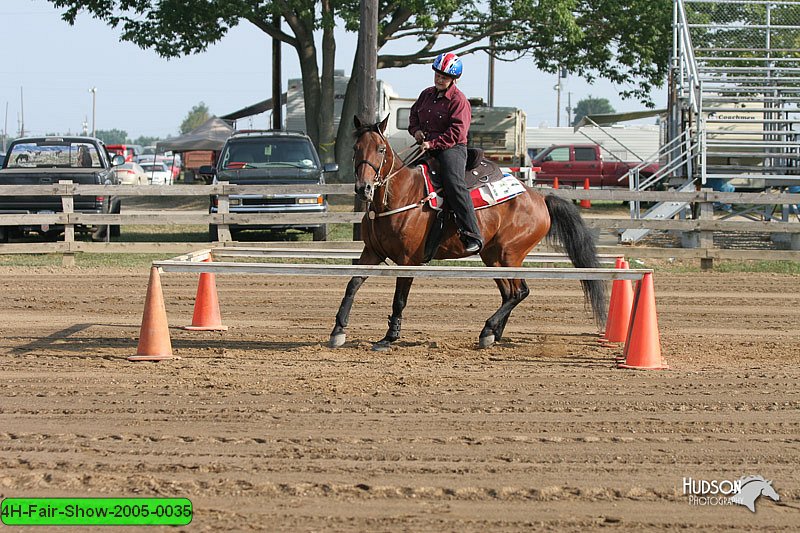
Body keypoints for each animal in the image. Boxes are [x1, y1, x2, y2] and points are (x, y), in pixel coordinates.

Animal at [328, 115, 604, 350]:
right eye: (356, 149)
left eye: (381, 149)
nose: (363, 188)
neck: (401, 195)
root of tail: (540, 198)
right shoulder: (372, 252)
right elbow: (352, 284)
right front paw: (338, 330)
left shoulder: (409, 261)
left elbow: (399, 299)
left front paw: (389, 338)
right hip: (492, 257)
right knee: (509, 293)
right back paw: (492, 334)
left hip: (509, 254)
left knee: (520, 291)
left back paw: (488, 330)